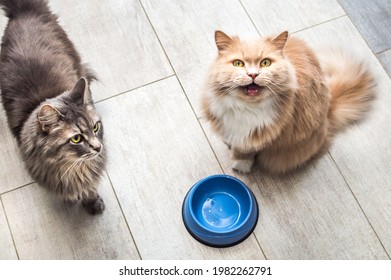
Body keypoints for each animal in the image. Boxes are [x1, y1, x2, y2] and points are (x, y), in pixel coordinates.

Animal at [0, 0, 107, 214]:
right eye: (76, 138)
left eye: (95, 127)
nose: (98, 147)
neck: (72, 167)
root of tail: (23, 11)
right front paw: (72, 200)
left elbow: (89, 188)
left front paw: (92, 202)